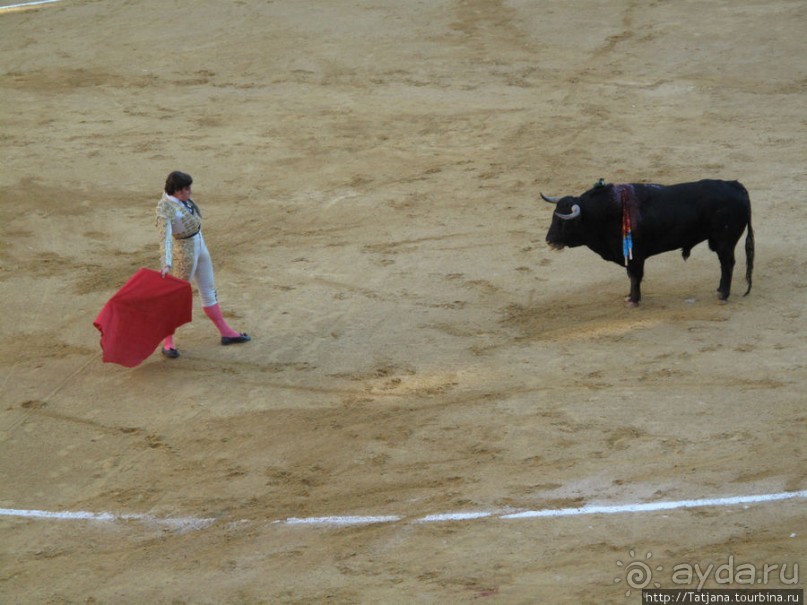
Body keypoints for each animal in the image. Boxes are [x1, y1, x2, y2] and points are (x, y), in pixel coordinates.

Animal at [544, 178, 756, 302]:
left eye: (563, 223)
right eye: (553, 217)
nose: (548, 240)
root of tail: (736, 185)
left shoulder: (635, 256)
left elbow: (634, 276)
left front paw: (634, 299)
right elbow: (631, 276)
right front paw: (630, 296)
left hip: (724, 242)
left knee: (727, 264)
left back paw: (723, 294)